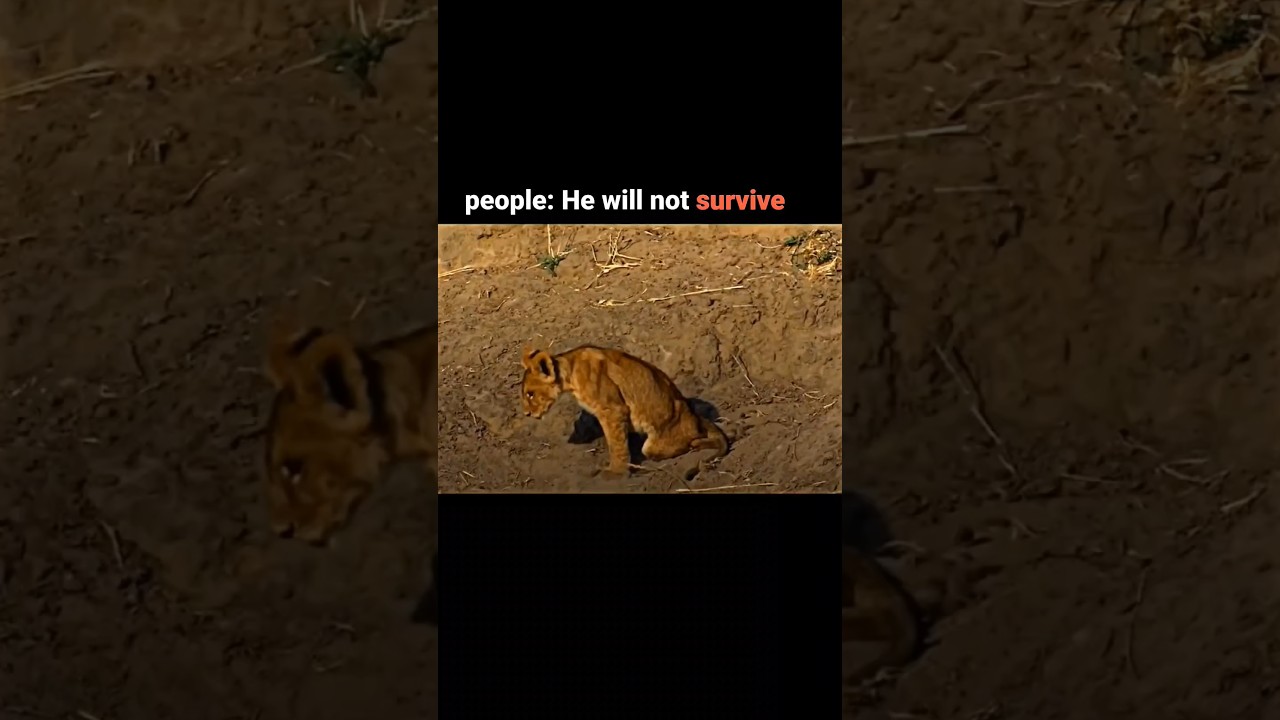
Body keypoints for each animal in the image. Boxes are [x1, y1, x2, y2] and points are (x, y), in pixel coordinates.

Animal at [519, 344, 729, 476]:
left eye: (530, 394)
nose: (526, 414)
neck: (570, 373)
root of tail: (695, 416)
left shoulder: (613, 409)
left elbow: (616, 444)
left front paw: (615, 473)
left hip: (656, 444)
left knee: (682, 443)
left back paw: (696, 444)